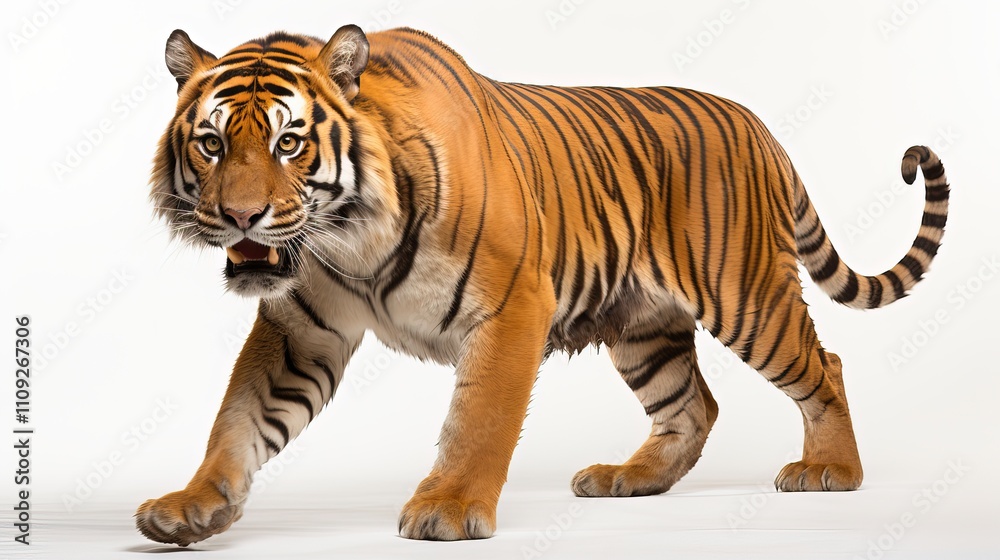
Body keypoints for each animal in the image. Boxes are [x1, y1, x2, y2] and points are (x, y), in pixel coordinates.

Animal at [137, 25, 950, 545]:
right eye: (210, 143)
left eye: (288, 142)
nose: (239, 217)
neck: (347, 237)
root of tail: (757, 124)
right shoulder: (302, 330)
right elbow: (239, 419)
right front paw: (191, 506)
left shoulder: (510, 307)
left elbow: (479, 419)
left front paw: (448, 508)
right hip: (643, 326)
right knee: (694, 405)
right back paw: (629, 478)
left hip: (746, 295)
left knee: (825, 366)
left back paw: (833, 470)